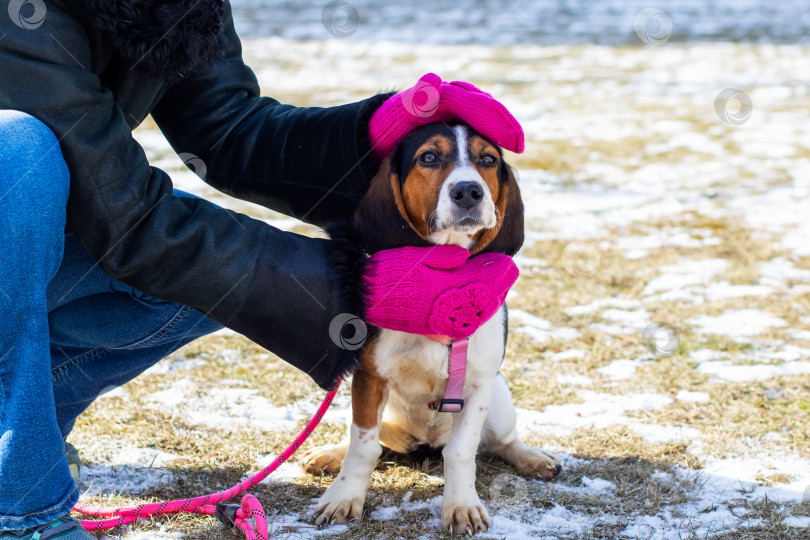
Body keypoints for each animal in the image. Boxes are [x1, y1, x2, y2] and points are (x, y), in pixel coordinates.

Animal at [300, 123, 560, 536]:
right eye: (429, 157)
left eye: (488, 159)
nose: (469, 191)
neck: (444, 276)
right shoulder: (369, 376)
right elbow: (363, 447)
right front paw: (343, 498)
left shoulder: (479, 385)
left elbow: (462, 451)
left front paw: (461, 506)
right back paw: (330, 453)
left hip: (501, 399)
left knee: (503, 442)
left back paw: (531, 457)